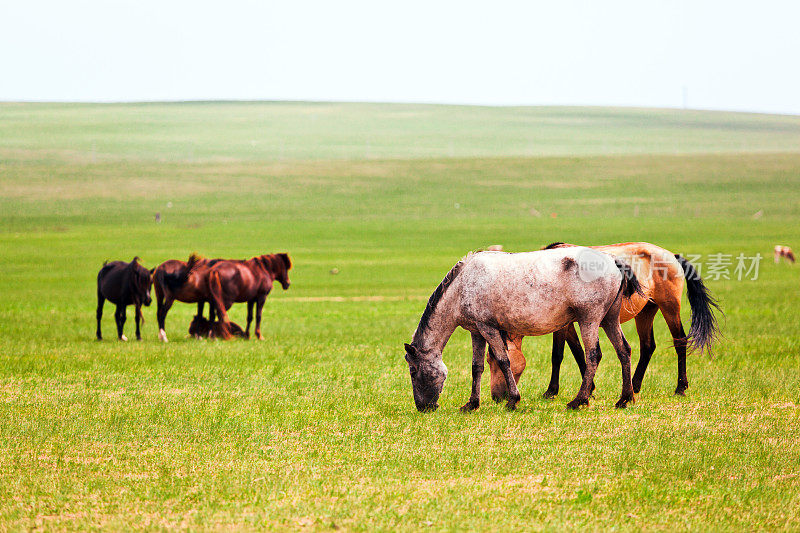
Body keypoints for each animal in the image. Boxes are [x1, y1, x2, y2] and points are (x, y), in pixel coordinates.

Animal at [488, 240, 724, 400]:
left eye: (496, 363)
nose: (497, 396)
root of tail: (672, 255)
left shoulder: (563, 325)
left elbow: (558, 355)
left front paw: (553, 391)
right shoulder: (569, 324)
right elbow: (577, 352)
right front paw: (589, 388)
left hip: (670, 307)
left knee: (680, 341)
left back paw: (680, 387)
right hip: (646, 311)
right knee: (648, 346)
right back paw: (634, 386)